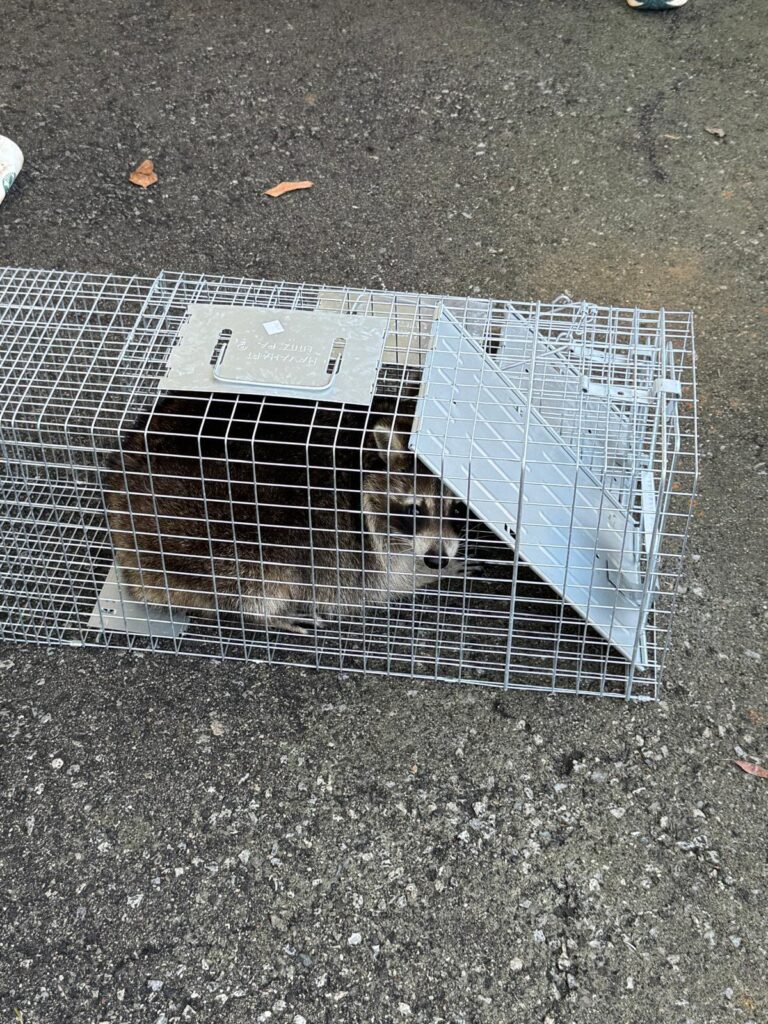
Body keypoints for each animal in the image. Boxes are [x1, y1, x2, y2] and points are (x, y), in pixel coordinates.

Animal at [104, 394, 463, 632]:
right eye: (415, 509)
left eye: (459, 507)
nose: (436, 559)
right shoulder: (359, 543)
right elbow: (379, 584)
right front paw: (425, 574)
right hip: (218, 531)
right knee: (261, 581)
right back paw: (270, 615)